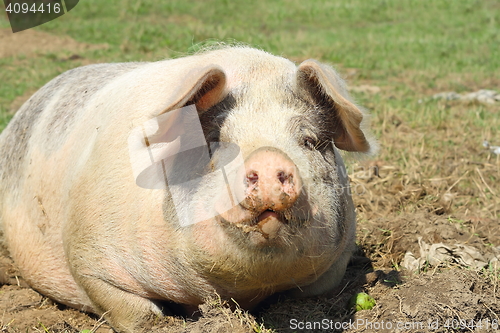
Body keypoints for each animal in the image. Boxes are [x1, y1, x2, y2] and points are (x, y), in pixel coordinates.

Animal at [0, 46, 376, 330]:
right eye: (215, 141)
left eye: (309, 141)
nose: (268, 158)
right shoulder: (86, 251)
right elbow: (127, 308)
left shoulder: (337, 261)